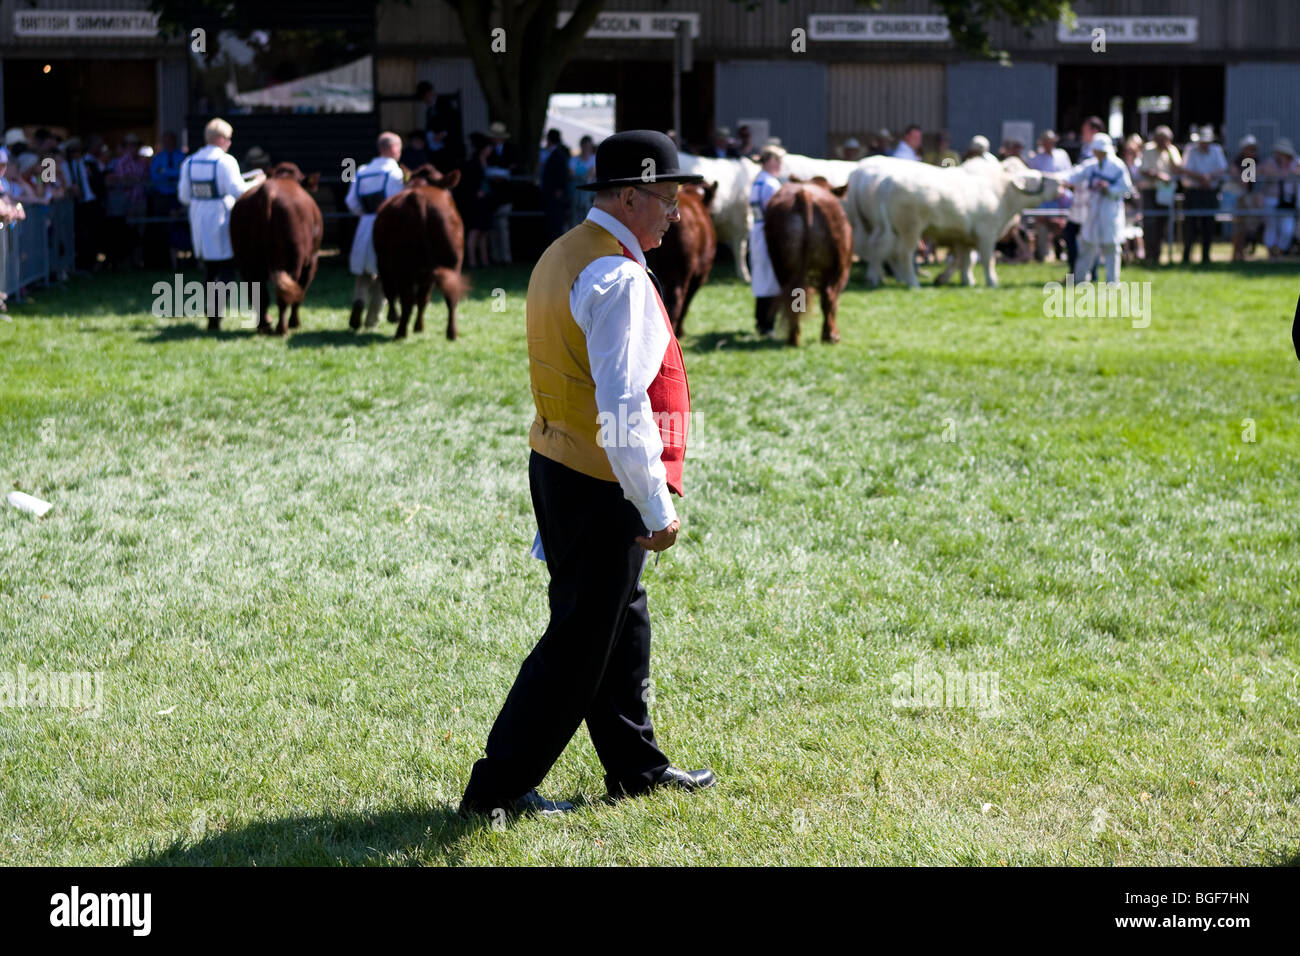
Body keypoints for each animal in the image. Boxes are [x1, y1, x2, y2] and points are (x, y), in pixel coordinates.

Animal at [228, 164, 322, 340]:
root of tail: (268, 193)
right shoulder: (312, 260)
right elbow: (300, 292)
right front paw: (295, 323)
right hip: (293, 259)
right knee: (285, 293)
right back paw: (281, 329)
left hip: (247, 261)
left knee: (258, 293)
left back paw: (264, 326)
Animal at [371, 164, 467, 340]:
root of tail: (420, 198)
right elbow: (423, 298)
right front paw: (418, 327)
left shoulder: (382, 262)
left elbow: (391, 291)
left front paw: (394, 317)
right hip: (453, 262)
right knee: (450, 295)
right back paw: (451, 333)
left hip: (402, 265)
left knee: (406, 298)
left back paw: (400, 332)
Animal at [759, 180, 852, 345]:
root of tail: (804, 192)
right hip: (839, 267)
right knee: (830, 297)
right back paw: (830, 336)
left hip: (781, 265)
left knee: (792, 298)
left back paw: (793, 338)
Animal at [847, 154, 1060, 283]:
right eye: (1038, 177)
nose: (1060, 182)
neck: (1000, 191)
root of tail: (886, 182)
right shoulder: (986, 234)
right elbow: (986, 259)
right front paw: (991, 281)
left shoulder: (963, 237)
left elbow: (965, 260)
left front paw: (965, 281)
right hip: (909, 229)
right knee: (901, 254)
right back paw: (911, 282)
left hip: (878, 226)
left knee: (879, 249)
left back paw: (878, 278)